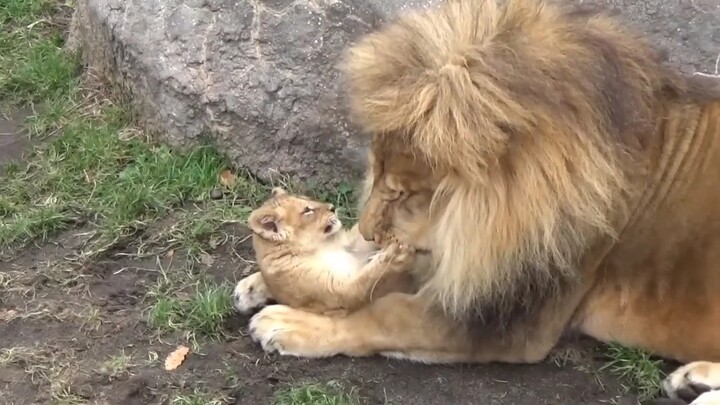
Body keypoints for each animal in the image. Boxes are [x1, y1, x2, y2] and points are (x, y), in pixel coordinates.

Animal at [232, 187, 419, 316]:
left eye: (309, 199)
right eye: (307, 210)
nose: (332, 207)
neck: (322, 246)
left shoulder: (353, 244)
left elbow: (362, 236)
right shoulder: (338, 293)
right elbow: (367, 280)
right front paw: (397, 254)